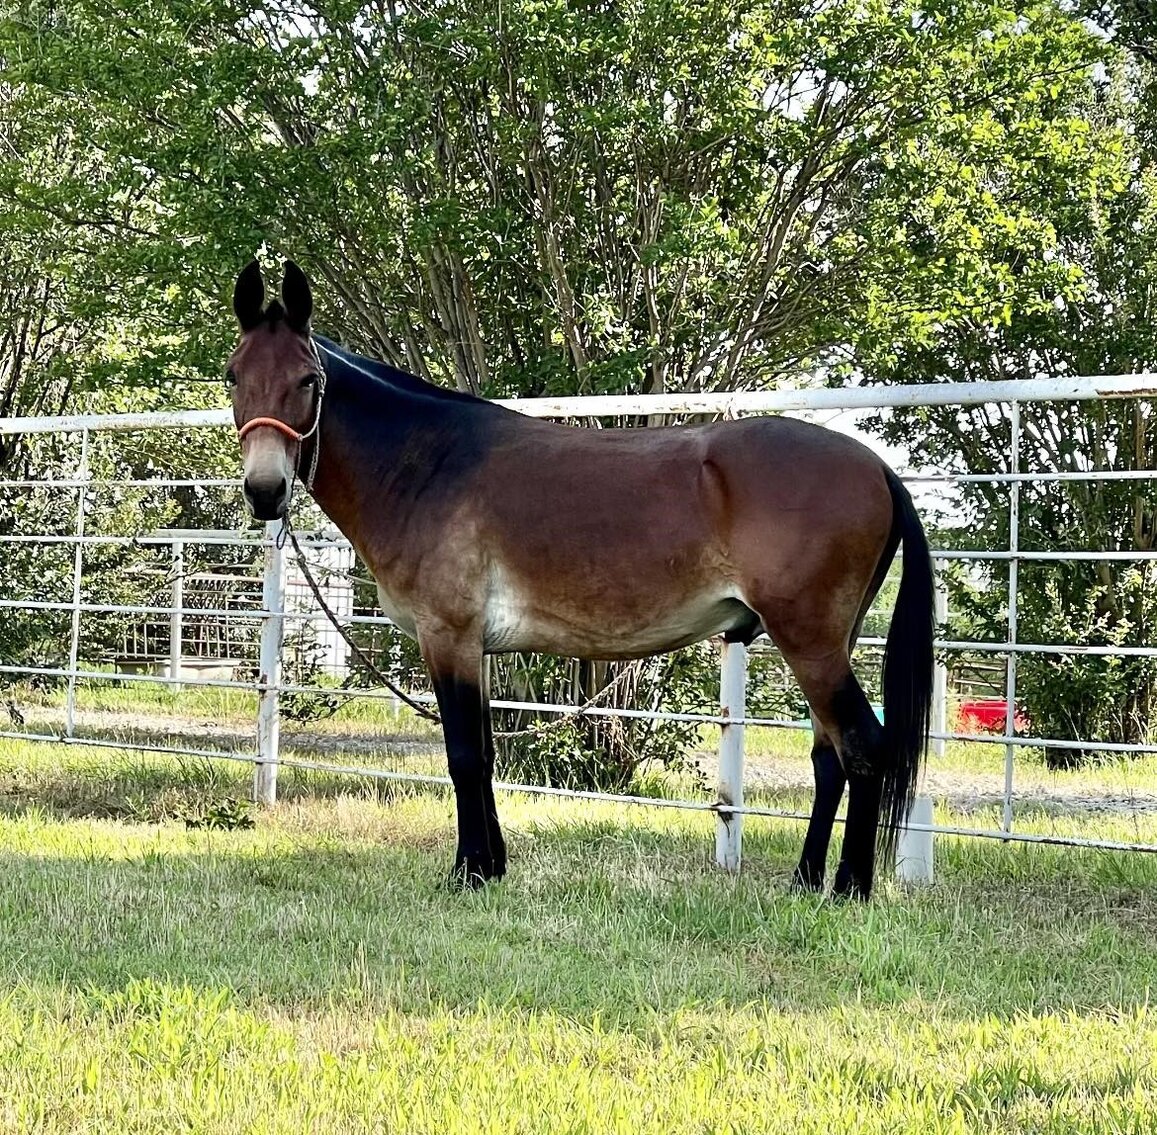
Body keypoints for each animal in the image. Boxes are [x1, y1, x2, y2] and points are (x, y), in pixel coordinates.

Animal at [227, 259, 934, 899]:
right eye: (234, 376)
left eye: (307, 380)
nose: (265, 491)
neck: (429, 463)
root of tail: (876, 468)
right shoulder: (477, 647)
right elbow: (484, 752)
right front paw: (492, 865)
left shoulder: (448, 636)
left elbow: (463, 755)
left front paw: (468, 873)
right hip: (824, 644)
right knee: (829, 758)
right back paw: (806, 879)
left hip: (810, 642)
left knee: (862, 747)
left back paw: (849, 886)